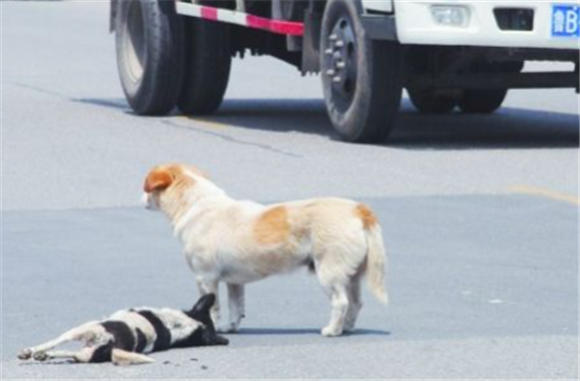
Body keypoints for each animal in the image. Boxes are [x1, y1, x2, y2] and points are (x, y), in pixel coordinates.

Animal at [18, 292, 227, 364]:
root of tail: (116, 343)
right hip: (89, 351)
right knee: (71, 353)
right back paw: (43, 355)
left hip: (84, 328)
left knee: (56, 342)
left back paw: (31, 352)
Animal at [141, 163, 388, 336]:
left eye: (147, 187)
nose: (140, 197)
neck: (198, 204)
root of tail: (358, 209)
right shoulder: (235, 282)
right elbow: (235, 306)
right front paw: (230, 327)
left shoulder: (206, 279)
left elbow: (213, 309)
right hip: (352, 277)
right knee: (355, 303)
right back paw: (347, 328)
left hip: (329, 274)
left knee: (341, 302)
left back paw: (333, 330)